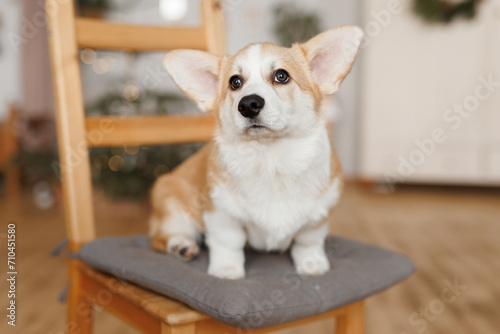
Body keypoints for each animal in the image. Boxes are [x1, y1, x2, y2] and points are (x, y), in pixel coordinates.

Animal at [148, 26, 364, 278]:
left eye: (282, 76)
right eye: (235, 82)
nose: (248, 104)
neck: (270, 158)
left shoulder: (318, 216)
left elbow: (308, 242)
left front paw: (312, 264)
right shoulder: (221, 214)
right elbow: (227, 243)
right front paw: (226, 270)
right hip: (172, 207)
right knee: (160, 237)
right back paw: (181, 245)